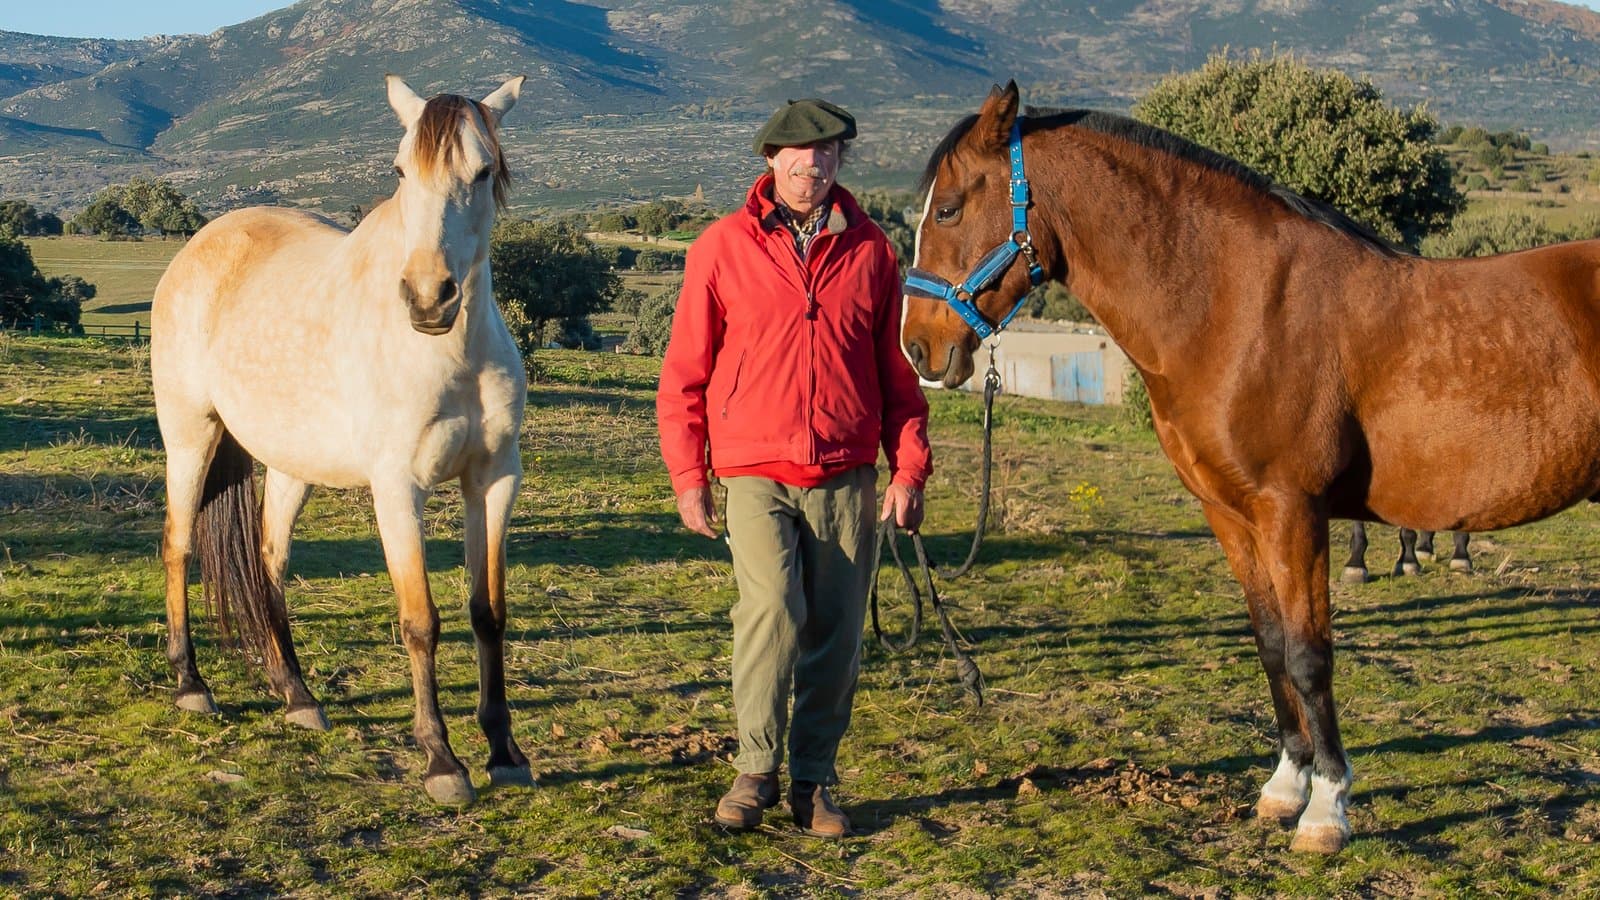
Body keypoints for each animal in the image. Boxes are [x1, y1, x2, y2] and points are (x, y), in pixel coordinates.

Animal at [151, 74, 529, 805]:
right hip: (189, 436)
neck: (450, 354)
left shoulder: (494, 478)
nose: (429, 298)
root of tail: (199, 245)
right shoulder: (398, 488)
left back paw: (296, 695)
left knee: (267, 562)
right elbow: (421, 620)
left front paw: (504, 751)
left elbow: (487, 611)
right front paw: (442, 761)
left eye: (483, 171)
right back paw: (191, 685)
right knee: (179, 545)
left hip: (288, 464)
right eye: (401, 170)